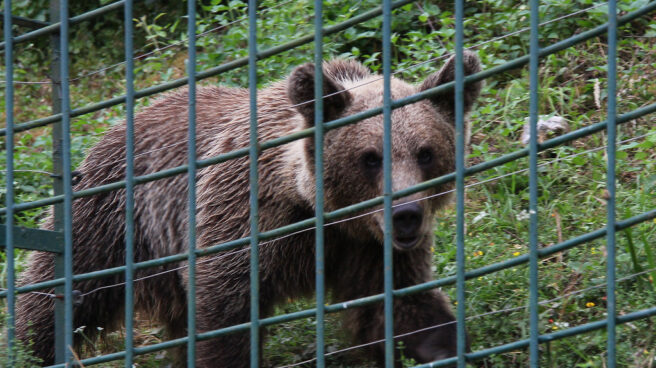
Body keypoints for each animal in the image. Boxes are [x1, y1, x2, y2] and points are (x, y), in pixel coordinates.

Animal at [15, 51, 482, 366]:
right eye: (370, 157)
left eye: (426, 152)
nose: (407, 213)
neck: (314, 209)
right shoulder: (243, 218)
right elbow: (226, 316)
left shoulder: (366, 248)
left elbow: (402, 309)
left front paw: (444, 344)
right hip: (112, 221)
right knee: (57, 297)